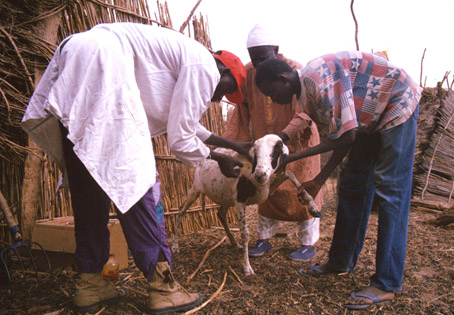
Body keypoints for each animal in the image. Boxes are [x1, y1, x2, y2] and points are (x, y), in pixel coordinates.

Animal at [171, 135, 320, 276]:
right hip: (195, 189)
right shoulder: (240, 201)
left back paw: (235, 243)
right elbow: (245, 233)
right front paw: (247, 268)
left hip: (226, 197)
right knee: (181, 210)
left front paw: (312, 206)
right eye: (256, 150)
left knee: (220, 214)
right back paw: (174, 246)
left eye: (277, 149)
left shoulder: (267, 189)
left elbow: (290, 174)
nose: (260, 174)